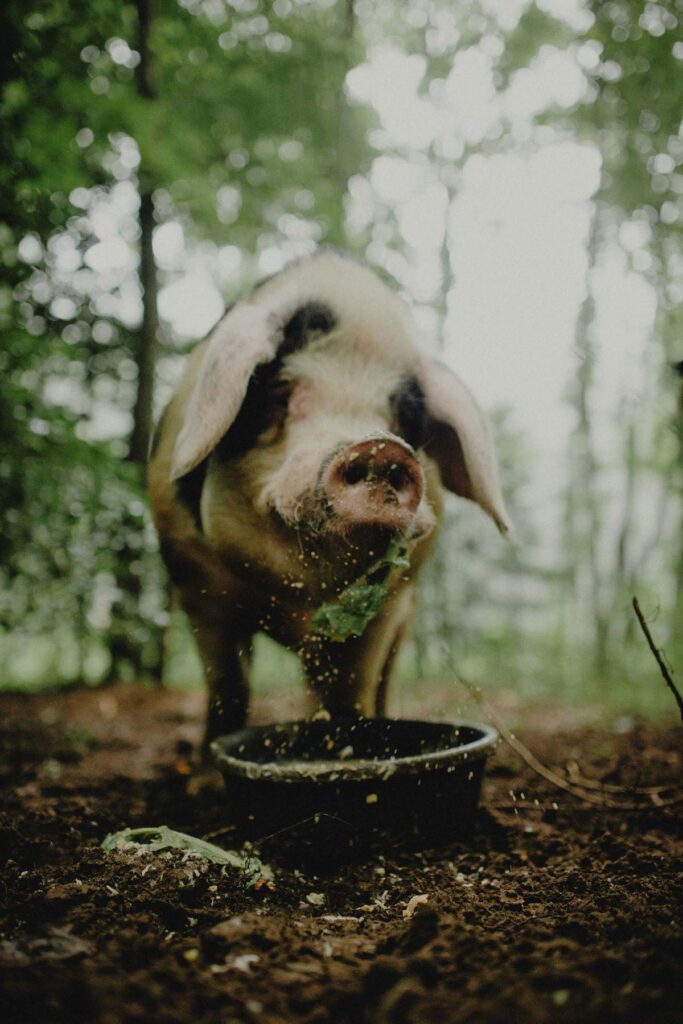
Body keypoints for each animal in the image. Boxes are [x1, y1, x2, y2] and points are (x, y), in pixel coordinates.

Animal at [150, 250, 511, 749]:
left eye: (404, 413)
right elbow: (227, 689)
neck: (299, 601)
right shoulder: (194, 580)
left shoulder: (385, 607)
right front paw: (206, 768)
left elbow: (349, 696)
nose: (380, 448)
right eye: (280, 391)